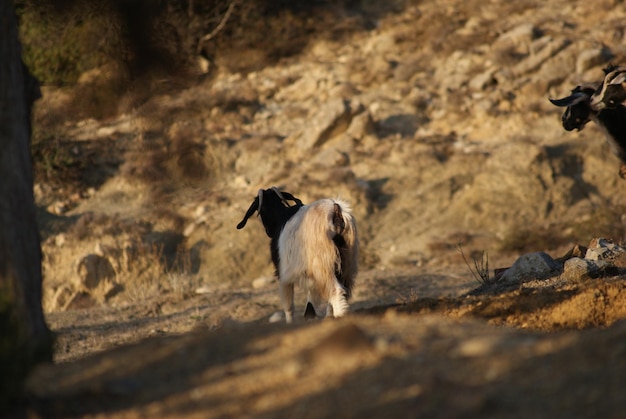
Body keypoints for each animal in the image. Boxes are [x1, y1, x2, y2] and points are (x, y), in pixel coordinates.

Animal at [238, 188, 358, 324]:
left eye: (260, 208)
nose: (268, 232)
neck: (280, 216)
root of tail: (335, 209)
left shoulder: (283, 273)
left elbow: (289, 306)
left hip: (323, 265)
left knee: (335, 291)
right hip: (346, 262)